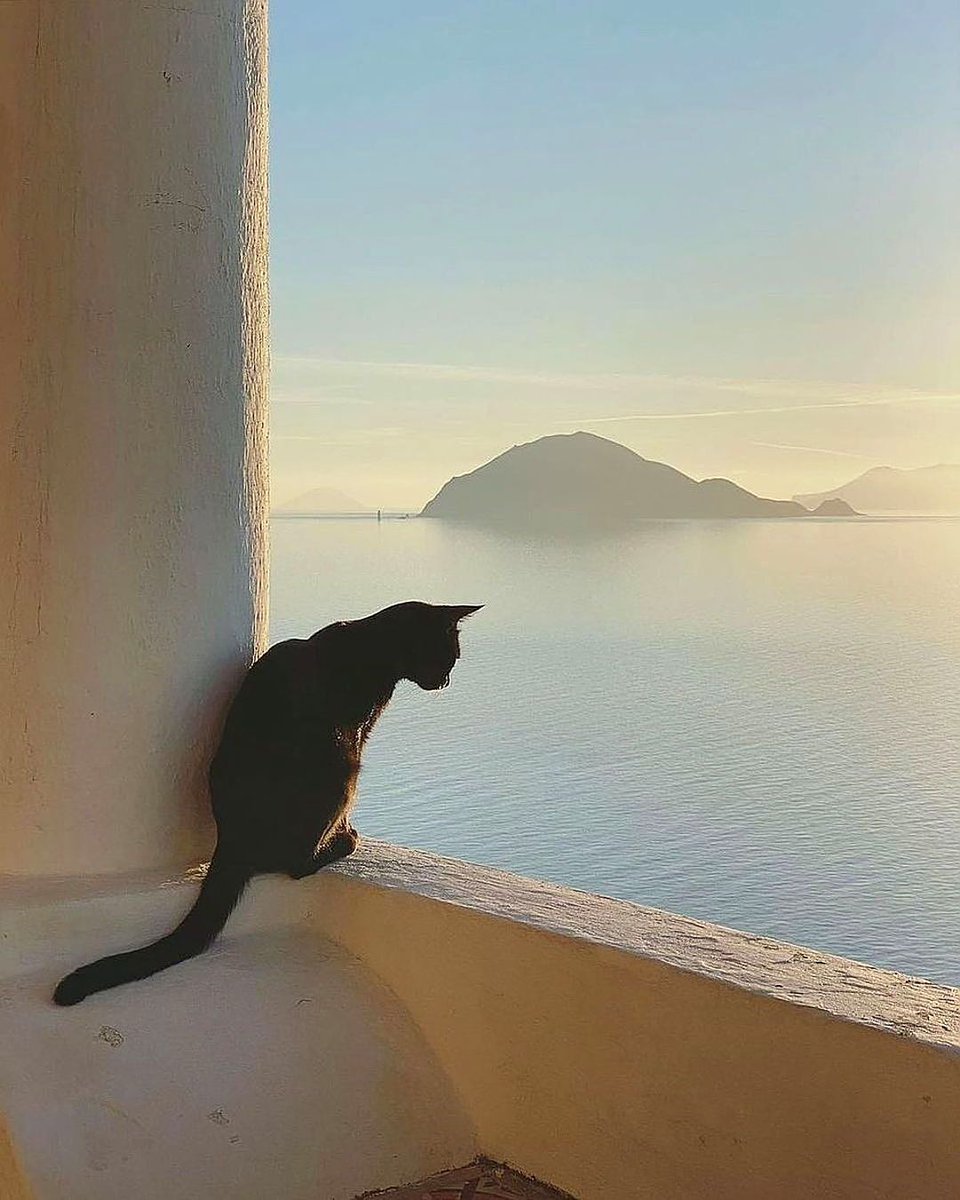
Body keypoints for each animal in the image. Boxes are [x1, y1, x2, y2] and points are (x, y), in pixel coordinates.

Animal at [52, 600, 480, 1003]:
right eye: (449, 656)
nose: (446, 681)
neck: (372, 647)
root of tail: (231, 841)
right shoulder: (356, 734)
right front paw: (346, 832)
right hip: (341, 766)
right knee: (298, 864)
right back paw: (344, 842)